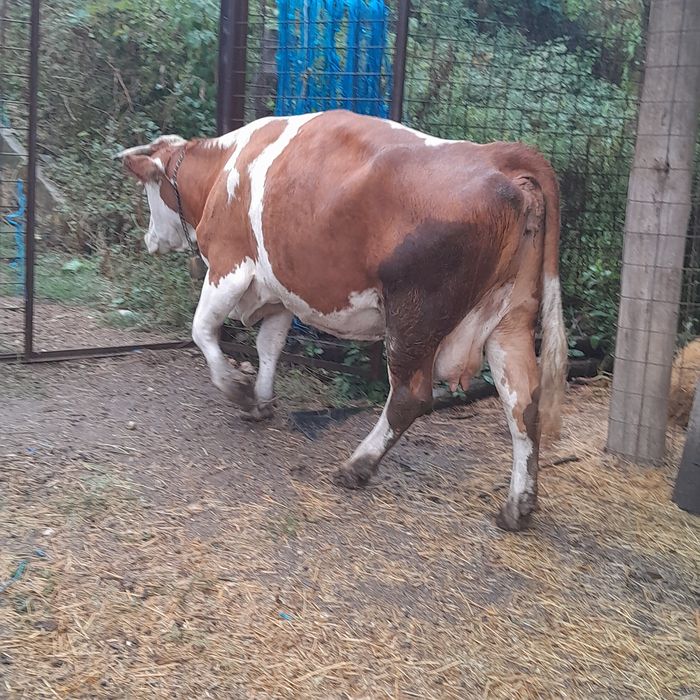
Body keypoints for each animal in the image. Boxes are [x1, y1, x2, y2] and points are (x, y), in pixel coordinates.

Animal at [116, 110, 567, 531]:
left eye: (148, 191)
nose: (149, 240)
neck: (224, 168)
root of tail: (495, 154)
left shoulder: (229, 265)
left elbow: (203, 332)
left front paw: (237, 390)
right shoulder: (280, 292)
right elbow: (269, 346)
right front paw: (261, 400)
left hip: (414, 314)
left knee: (410, 396)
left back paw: (357, 467)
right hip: (511, 318)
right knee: (523, 403)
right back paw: (518, 506)